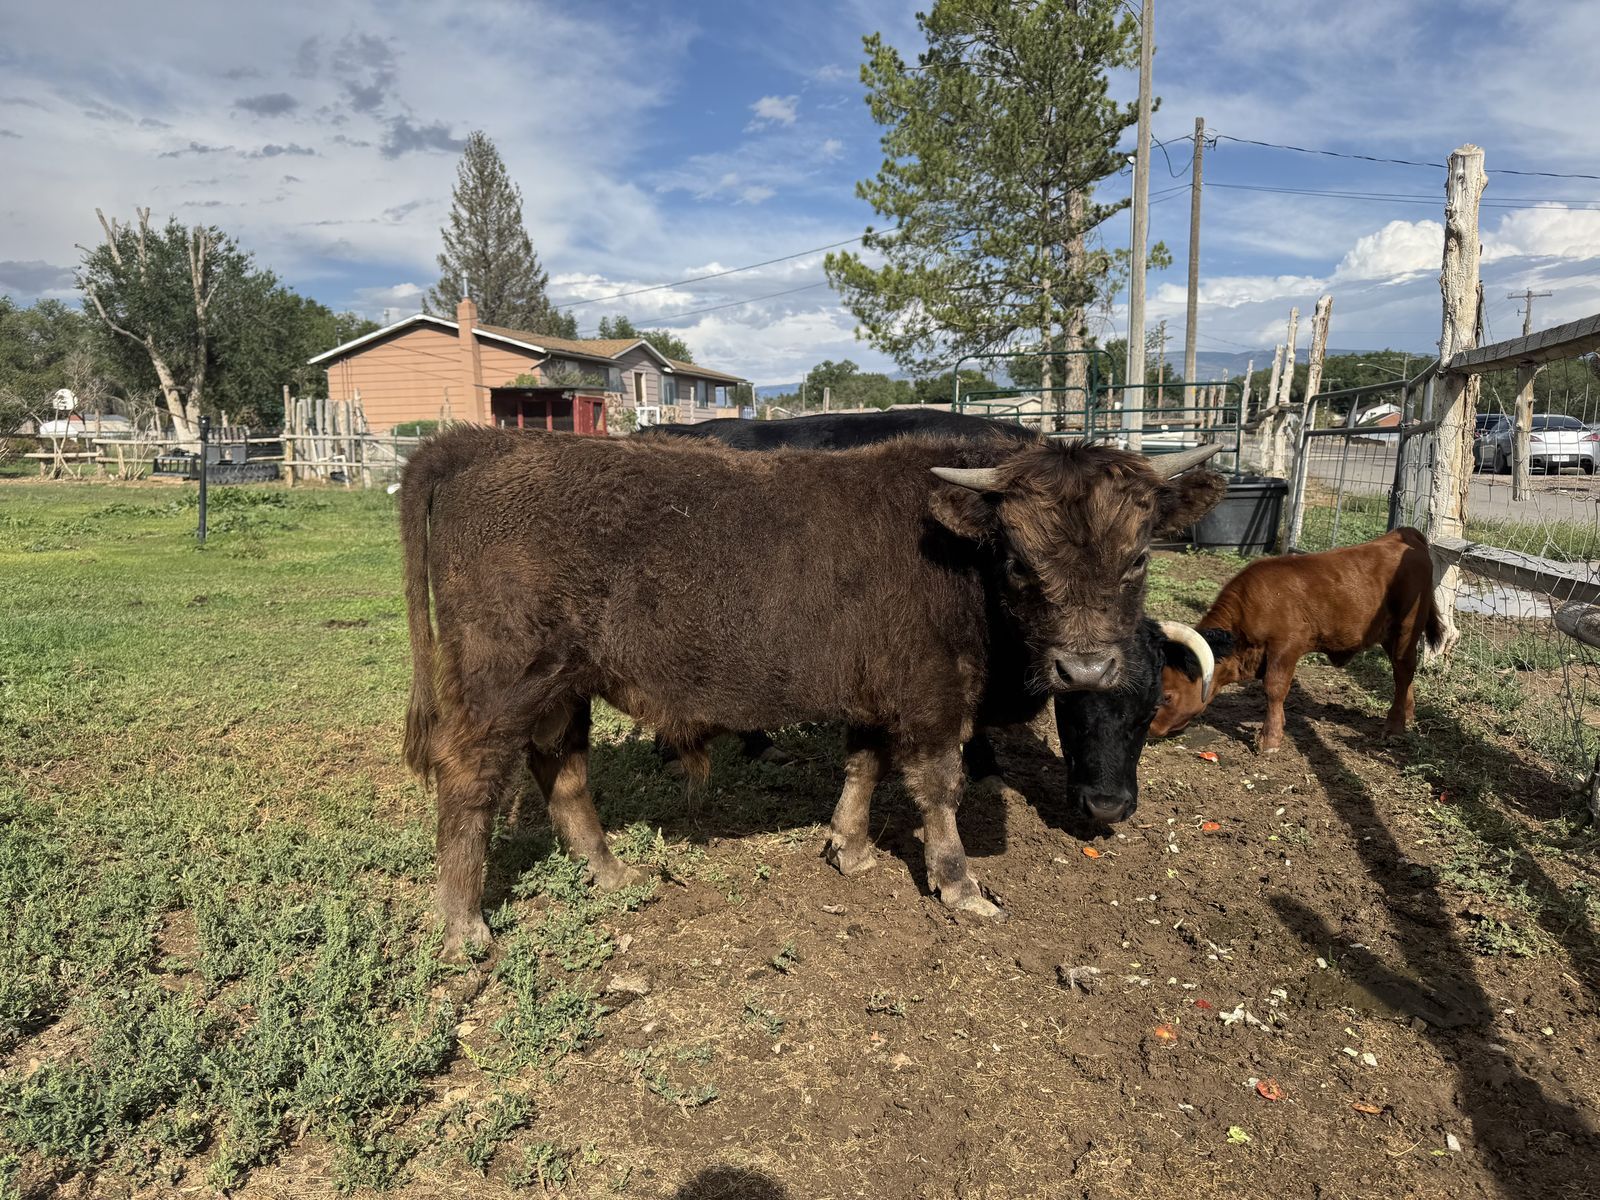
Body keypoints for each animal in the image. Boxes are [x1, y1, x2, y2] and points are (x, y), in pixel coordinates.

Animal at [1148, 528, 1445, 752]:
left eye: (1167, 695)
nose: (1152, 728)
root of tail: (1401, 534)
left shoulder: (1285, 648)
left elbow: (1274, 689)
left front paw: (1269, 740)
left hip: (1407, 627)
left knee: (1403, 670)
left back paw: (1395, 727)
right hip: (1387, 633)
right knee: (1402, 673)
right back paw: (1408, 714)